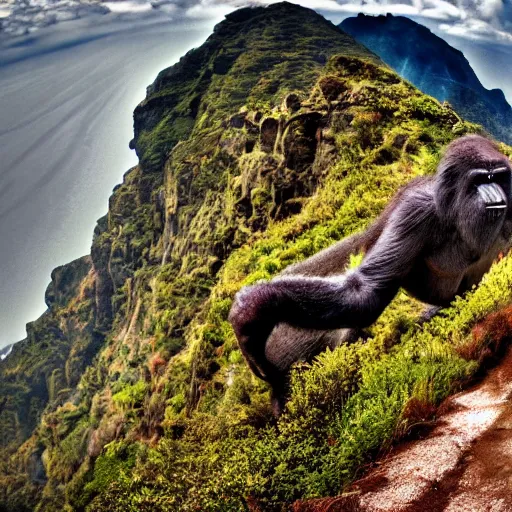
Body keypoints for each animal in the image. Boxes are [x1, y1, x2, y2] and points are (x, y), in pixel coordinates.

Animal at [229, 134, 512, 414]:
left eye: (498, 177)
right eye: (480, 180)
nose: (495, 195)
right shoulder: (415, 210)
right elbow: (364, 293)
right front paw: (254, 307)